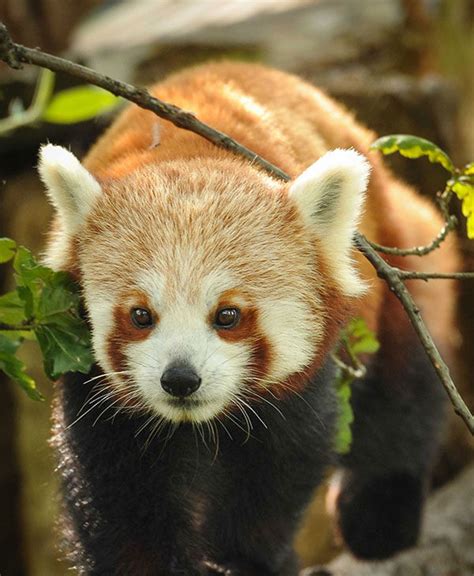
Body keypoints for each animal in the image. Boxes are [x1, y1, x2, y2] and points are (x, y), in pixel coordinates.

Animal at [38, 60, 460, 572]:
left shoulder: (301, 381)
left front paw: (248, 559)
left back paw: (380, 516)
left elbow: (280, 465)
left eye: (227, 315)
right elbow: (117, 489)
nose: (180, 380)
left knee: (402, 390)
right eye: (140, 315)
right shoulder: (97, 394)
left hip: (392, 261)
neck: (188, 150)